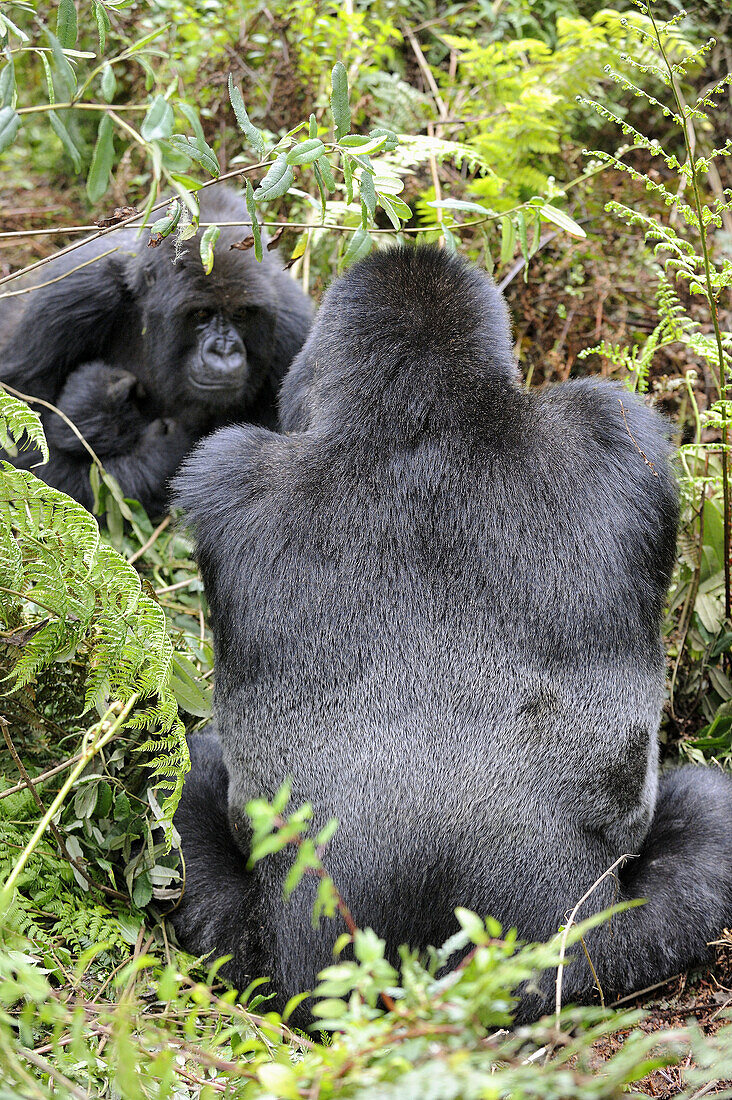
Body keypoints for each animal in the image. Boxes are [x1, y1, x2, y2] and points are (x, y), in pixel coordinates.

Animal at [0, 187, 310, 512]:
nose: (224, 351)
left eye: (240, 314)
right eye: (201, 314)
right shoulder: (72, 293)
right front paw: (155, 458)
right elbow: (24, 439)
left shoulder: (294, 328)